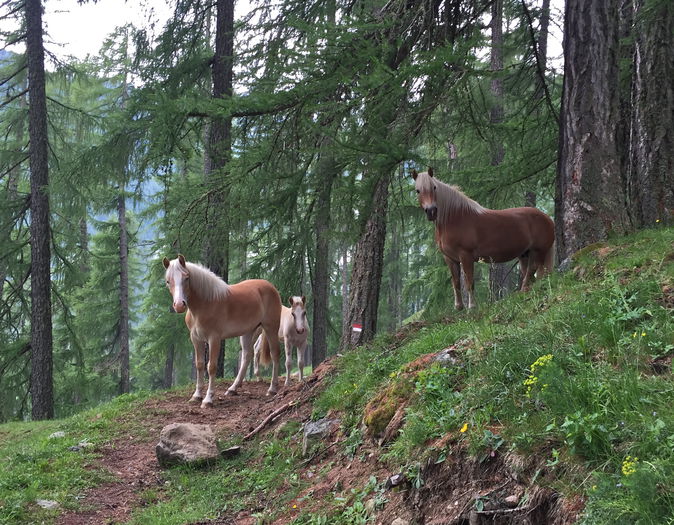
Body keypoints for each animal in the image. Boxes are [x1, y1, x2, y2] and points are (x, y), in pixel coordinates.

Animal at [161, 256, 280, 408]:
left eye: (186, 278)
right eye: (168, 281)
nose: (179, 305)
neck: (204, 305)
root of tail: (270, 286)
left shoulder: (214, 339)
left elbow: (211, 367)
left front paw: (208, 399)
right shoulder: (196, 339)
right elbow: (200, 365)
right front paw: (196, 395)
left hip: (271, 327)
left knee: (275, 354)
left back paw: (272, 389)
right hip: (248, 332)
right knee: (247, 356)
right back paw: (233, 389)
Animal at [412, 166, 552, 310]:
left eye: (434, 187)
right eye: (417, 190)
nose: (431, 211)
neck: (455, 218)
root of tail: (546, 217)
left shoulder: (466, 256)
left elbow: (469, 281)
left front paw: (472, 306)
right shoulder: (450, 258)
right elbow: (456, 283)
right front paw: (459, 307)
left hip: (538, 252)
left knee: (532, 270)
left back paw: (524, 291)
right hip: (524, 255)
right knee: (529, 273)